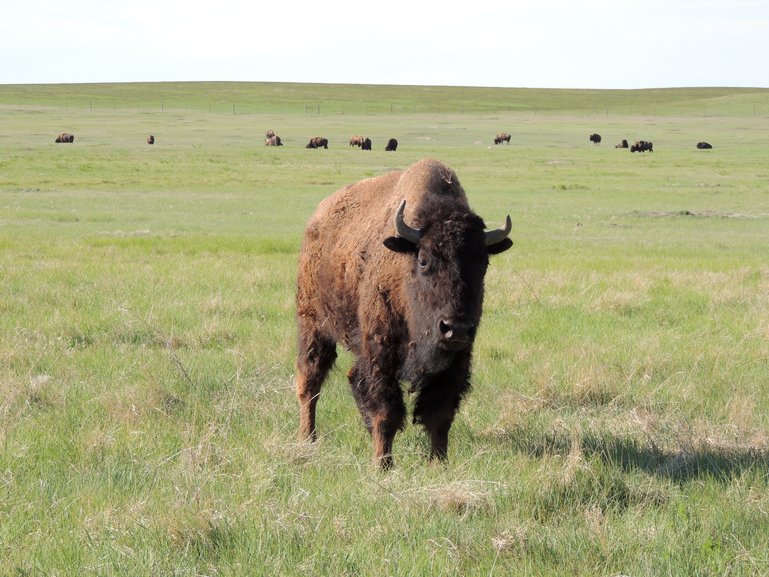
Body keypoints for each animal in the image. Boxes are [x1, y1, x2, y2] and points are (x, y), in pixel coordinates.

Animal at [296, 156, 512, 468]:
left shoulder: (456, 361)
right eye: (423, 260)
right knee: (310, 382)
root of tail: (317, 219)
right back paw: (307, 439)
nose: (456, 328)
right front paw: (382, 465)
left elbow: (439, 414)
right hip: (313, 323)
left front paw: (438, 464)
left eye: (483, 262)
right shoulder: (380, 354)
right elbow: (385, 412)